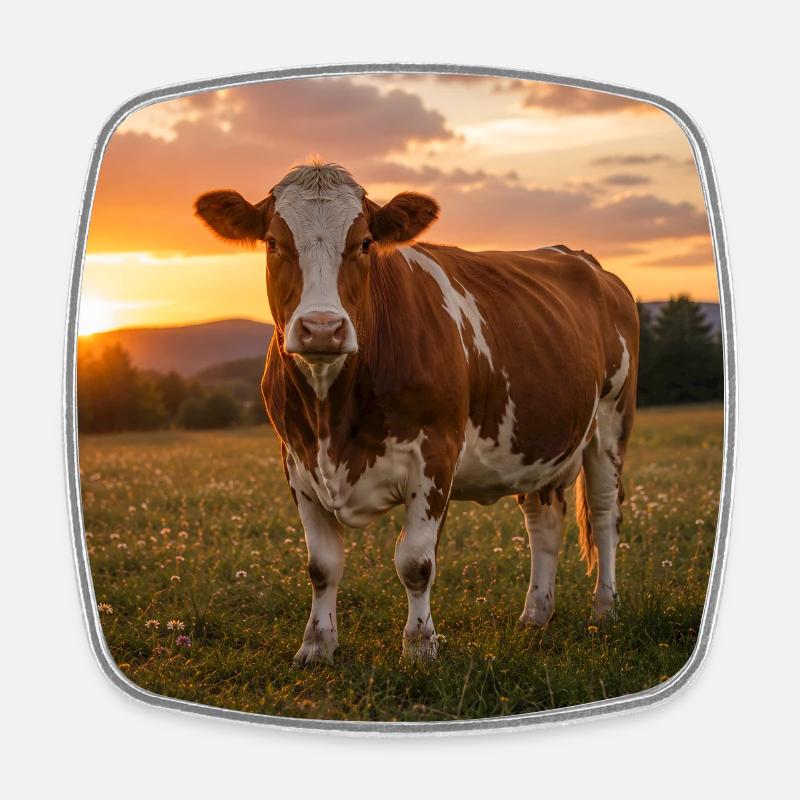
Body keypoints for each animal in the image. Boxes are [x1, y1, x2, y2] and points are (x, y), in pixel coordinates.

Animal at [194, 161, 639, 666]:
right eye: (272, 242)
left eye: (365, 242)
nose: (322, 328)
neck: (333, 419)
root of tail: (581, 258)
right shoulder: (296, 460)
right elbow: (322, 565)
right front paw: (317, 645)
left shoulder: (435, 455)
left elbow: (416, 562)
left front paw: (421, 646)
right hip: (538, 441)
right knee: (544, 520)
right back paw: (535, 614)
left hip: (611, 422)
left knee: (604, 516)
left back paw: (604, 609)